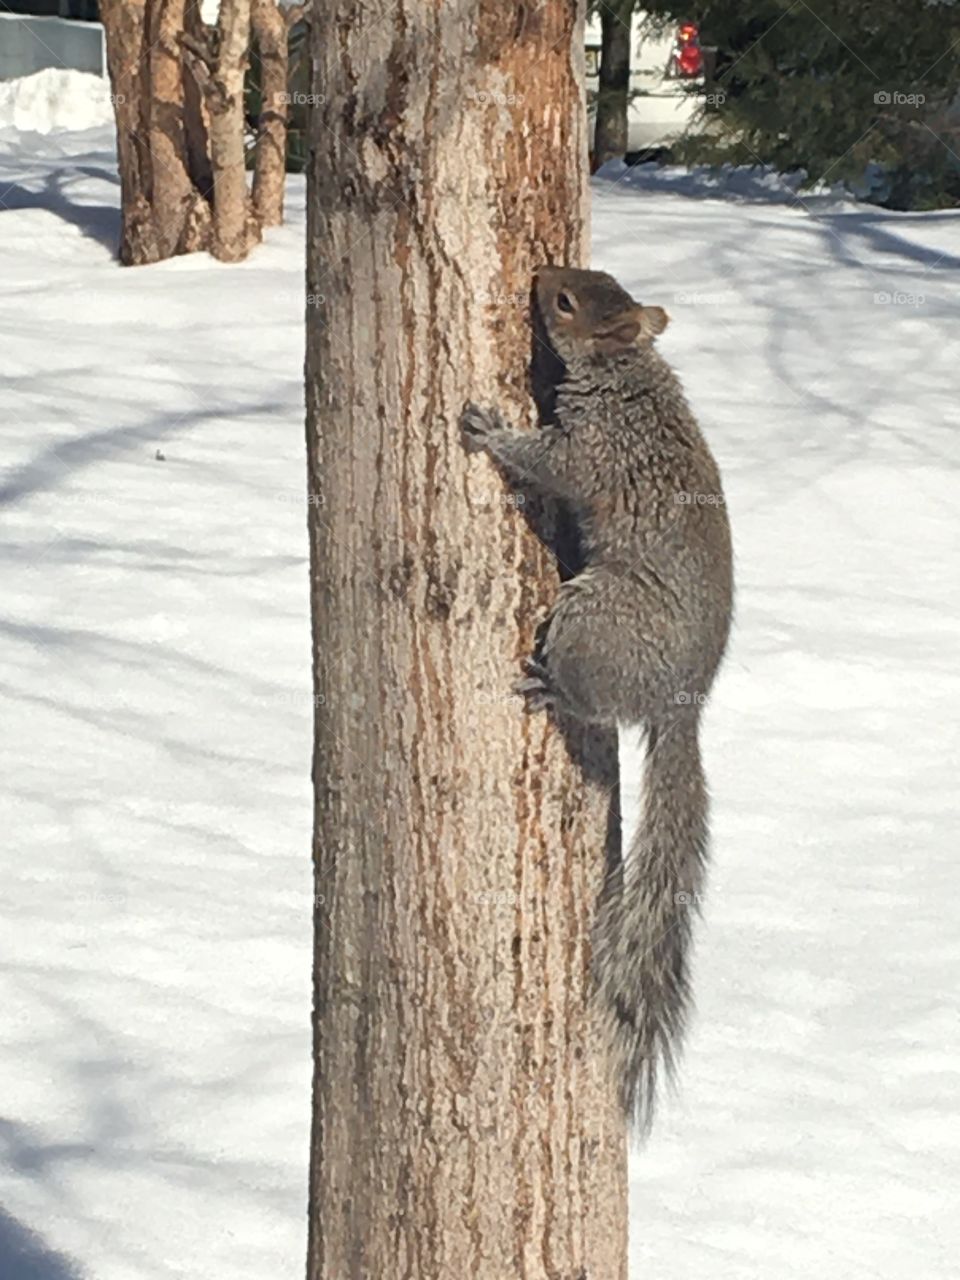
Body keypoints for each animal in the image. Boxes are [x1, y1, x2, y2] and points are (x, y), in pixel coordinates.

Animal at [460, 266, 733, 1131]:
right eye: (580, 282)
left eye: (568, 303)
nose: (541, 274)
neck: (628, 376)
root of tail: (682, 701)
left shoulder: (594, 451)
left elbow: (552, 464)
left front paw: (488, 429)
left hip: (594, 619)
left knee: (591, 699)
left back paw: (550, 685)